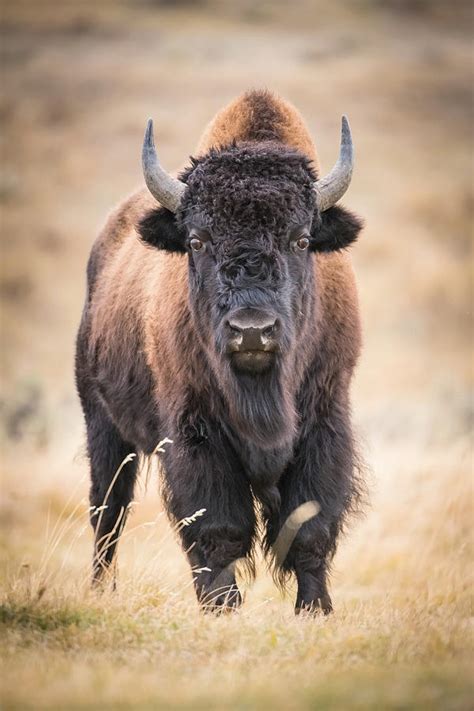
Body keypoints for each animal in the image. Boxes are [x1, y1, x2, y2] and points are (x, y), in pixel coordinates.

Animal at [75, 87, 362, 612]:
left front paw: (315, 609)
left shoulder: (326, 419)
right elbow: (218, 525)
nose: (251, 331)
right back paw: (102, 590)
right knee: (108, 512)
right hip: (102, 424)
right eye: (196, 240)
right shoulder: (195, 430)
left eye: (301, 239)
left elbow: (310, 525)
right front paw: (222, 607)